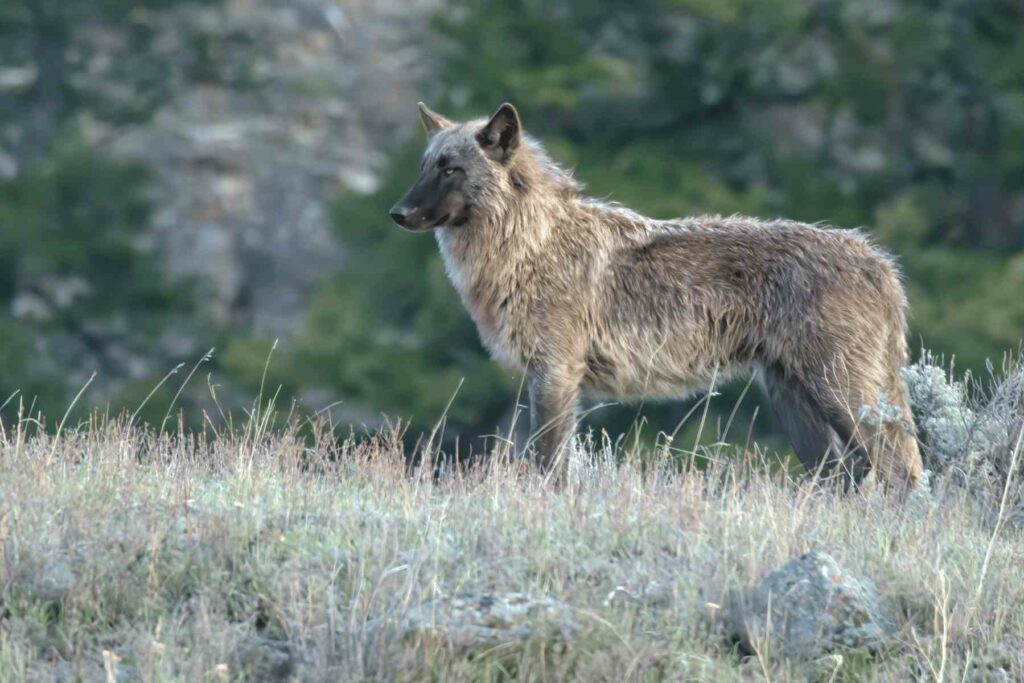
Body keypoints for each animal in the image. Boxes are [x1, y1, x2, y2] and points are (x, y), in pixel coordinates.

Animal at [387, 101, 925, 489]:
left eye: (451, 169)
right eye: (424, 166)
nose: (397, 213)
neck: (529, 244)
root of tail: (879, 261)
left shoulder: (555, 374)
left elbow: (550, 466)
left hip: (842, 397)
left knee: (900, 474)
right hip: (800, 408)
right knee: (848, 478)